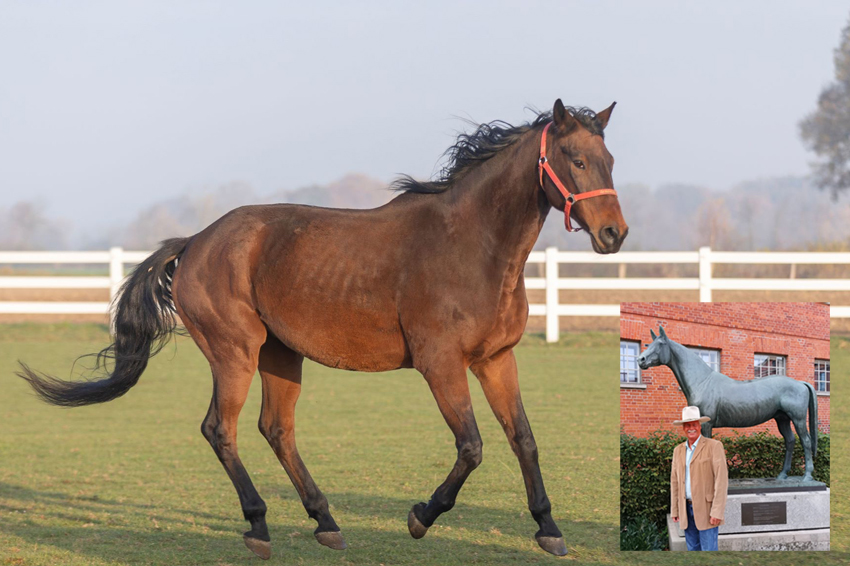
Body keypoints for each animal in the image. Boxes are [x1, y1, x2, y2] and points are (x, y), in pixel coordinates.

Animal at [16, 100, 628, 560]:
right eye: (575, 159)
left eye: (610, 159)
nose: (614, 234)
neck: (472, 247)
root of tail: (195, 242)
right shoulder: (441, 365)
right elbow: (472, 446)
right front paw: (420, 517)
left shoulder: (496, 359)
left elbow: (523, 438)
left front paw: (549, 530)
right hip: (234, 353)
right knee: (221, 429)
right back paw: (259, 526)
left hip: (281, 355)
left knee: (275, 429)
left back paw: (325, 521)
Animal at [636, 328, 816, 484]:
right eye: (648, 344)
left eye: (660, 343)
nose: (640, 360)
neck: (702, 381)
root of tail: (800, 383)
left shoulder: (706, 424)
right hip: (782, 419)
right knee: (790, 441)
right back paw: (783, 475)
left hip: (798, 419)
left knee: (806, 441)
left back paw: (807, 476)